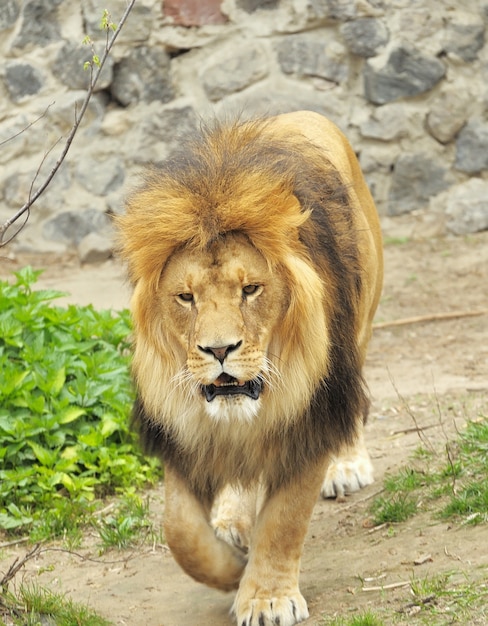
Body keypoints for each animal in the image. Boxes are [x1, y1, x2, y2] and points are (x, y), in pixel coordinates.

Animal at [116, 111, 384, 624]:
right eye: (186, 297)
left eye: (251, 290)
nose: (219, 350)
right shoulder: (184, 429)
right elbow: (180, 531)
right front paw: (231, 568)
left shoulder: (309, 418)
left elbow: (284, 520)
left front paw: (266, 598)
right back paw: (230, 521)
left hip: (357, 336)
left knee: (355, 400)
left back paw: (346, 465)